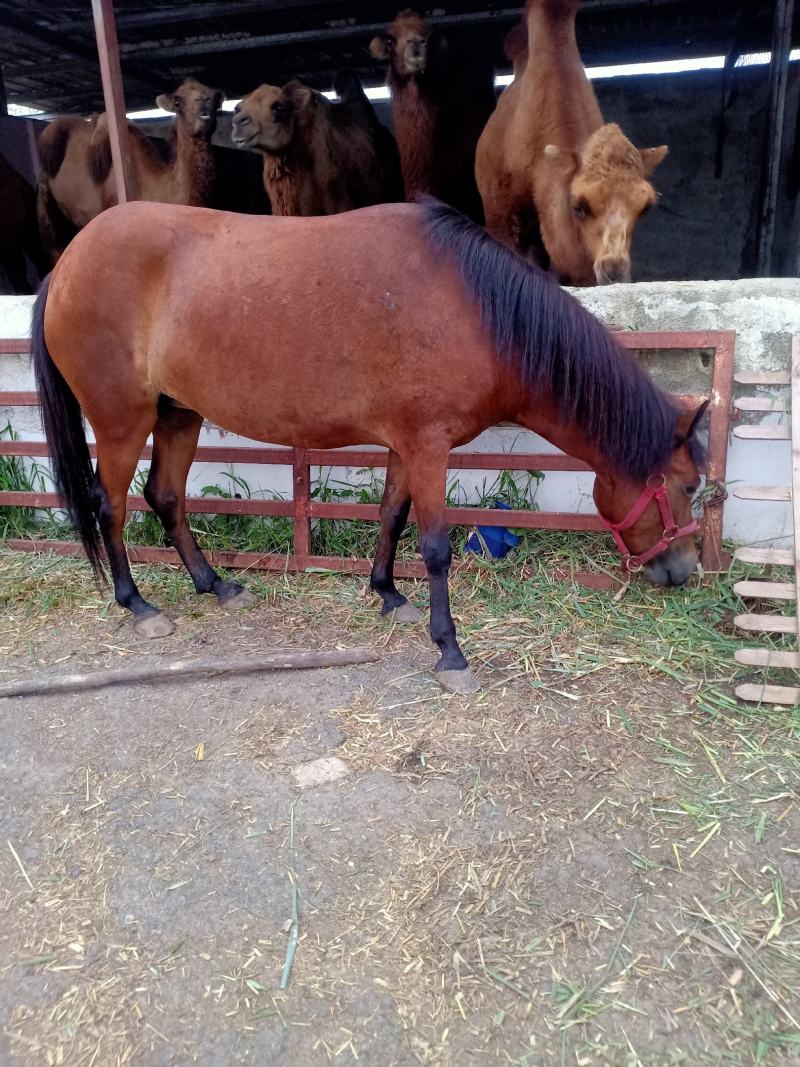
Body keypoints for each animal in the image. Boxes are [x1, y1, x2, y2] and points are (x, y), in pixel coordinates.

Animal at [31, 198, 707, 694]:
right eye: (689, 485)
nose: (683, 572)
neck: (477, 310)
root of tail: (66, 263)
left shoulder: (407, 446)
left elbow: (391, 517)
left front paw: (388, 595)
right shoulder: (429, 448)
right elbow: (434, 548)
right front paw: (450, 651)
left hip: (178, 414)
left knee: (166, 496)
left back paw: (215, 585)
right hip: (123, 420)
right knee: (111, 506)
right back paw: (139, 606)